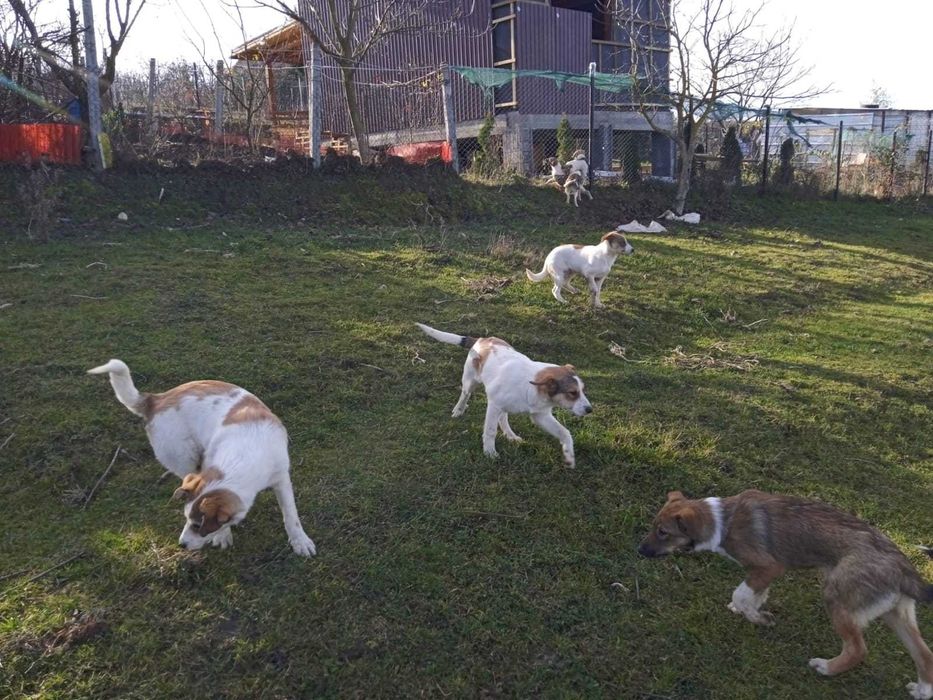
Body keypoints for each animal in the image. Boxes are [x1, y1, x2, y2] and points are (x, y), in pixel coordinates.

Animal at [88, 359, 316, 556]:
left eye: (198, 526)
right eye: (187, 519)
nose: (181, 545)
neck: (245, 455)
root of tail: (156, 399)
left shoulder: (281, 477)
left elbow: (291, 515)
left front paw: (300, 541)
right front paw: (223, 535)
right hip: (183, 458)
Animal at [415, 323, 591, 467]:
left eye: (582, 390)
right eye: (572, 393)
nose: (590, 410)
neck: (531, 387)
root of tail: (481, 339)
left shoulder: (540, 415)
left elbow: (564, 432)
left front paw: (569, 456)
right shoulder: (494, 406)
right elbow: (490, 431)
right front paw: (490, 453)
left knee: (503, 418)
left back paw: (510, 435)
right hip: (470, 382)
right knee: (465, 395)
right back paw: (459, 410)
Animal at [639, 490, 933, 699]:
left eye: (663, 532)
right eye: (653, 526)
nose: (639, 551)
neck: (723, 521)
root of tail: (905, 569)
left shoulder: (769, 566)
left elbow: (741, 595)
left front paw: (759, 618)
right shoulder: (763, 574)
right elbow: (753, 595)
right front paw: (752, 612)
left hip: (836, 596)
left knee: (857, 649)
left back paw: (826, 668)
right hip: (896, 614)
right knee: (925, 655)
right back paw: (922, 691)